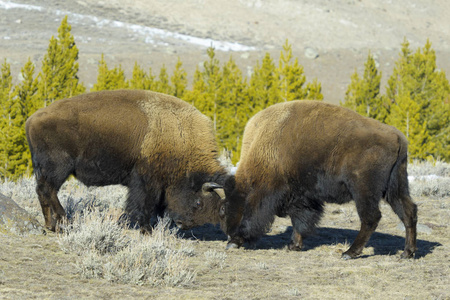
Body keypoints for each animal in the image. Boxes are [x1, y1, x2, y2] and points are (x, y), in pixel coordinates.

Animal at [25, 90, 229, 233]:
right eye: (199, 203)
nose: (183, 224)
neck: (181, 136)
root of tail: (32, 119)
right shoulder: (145, 181)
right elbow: (143, 205)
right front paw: (146, 229)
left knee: (43, 191)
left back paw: (50, 225)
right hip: (58, 168)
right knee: (48, 190)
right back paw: (62, 222)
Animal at [170, 101, 418, 260]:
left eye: (223, 210)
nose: (231, 238)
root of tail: (397, 137)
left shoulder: (273, 193)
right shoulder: (302, 197)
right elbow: (301, 219)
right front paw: (293, 246)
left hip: (363, 190)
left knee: (370, 218)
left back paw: (349, 253)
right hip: (395, 187)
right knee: (408, 212)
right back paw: (407, 253)